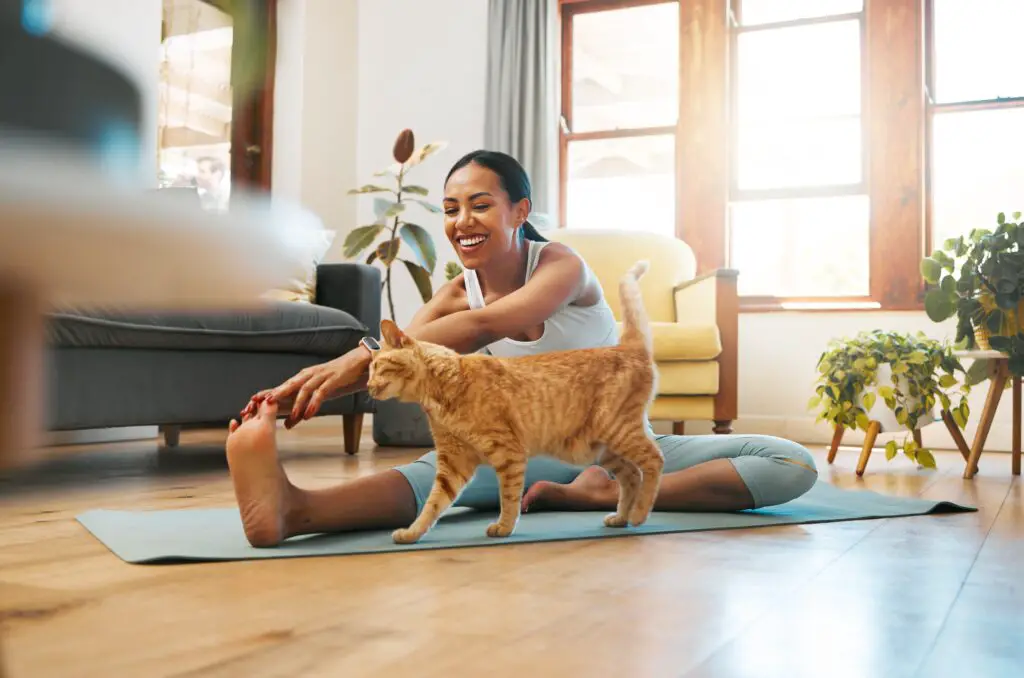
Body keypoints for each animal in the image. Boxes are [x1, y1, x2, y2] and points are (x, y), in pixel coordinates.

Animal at [368, 261, 663, 548]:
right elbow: (433, 505)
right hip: (601, 448)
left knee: (654, 460)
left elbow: (508, 497)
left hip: (617, 429)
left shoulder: (507, 452)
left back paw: (639, 515)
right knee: (631, 475)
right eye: (369, 371)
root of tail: (628, 347)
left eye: (376, 367)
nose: (368, 386)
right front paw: (412, 533)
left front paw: (504, 527)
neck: (443, 386)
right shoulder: (453, 463)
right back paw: (622, 517)